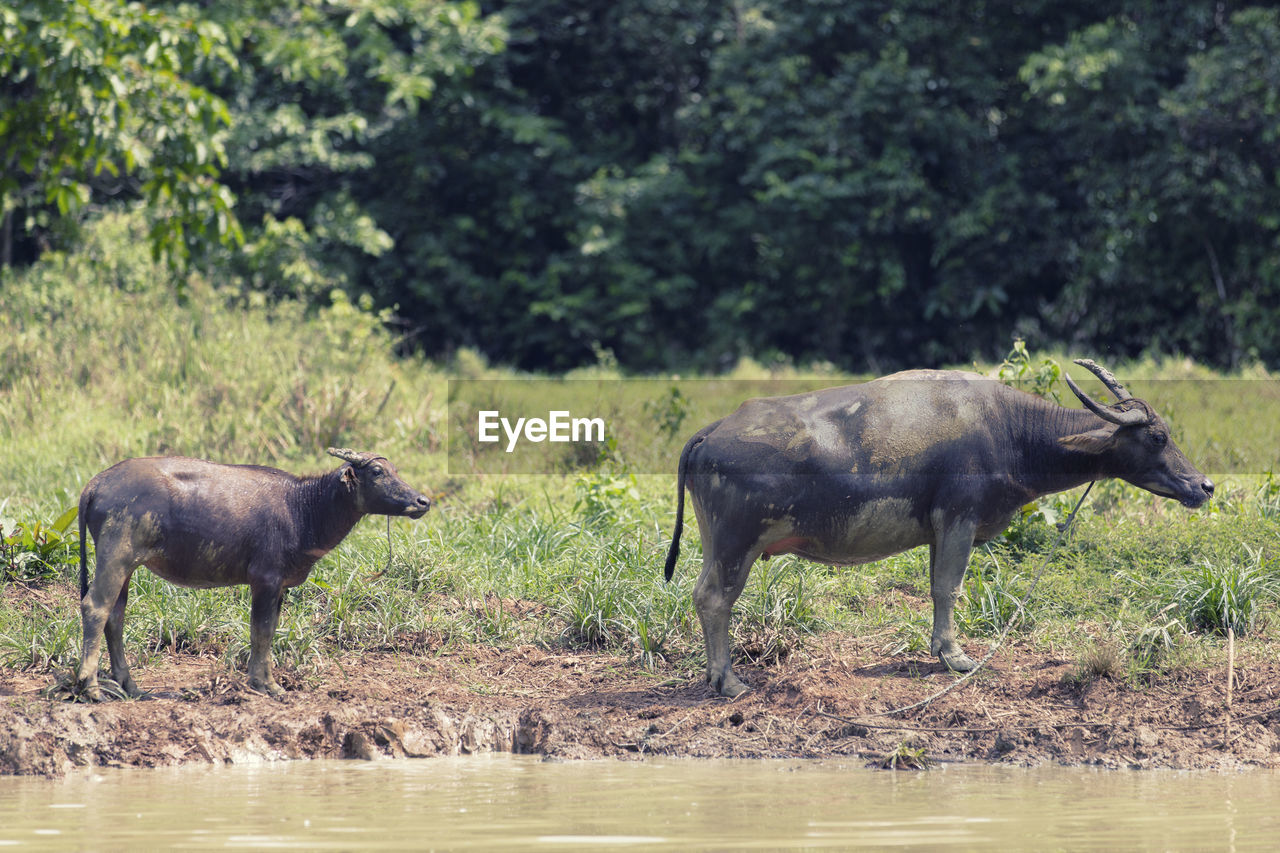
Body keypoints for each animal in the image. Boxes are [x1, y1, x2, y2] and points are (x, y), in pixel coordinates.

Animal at [77, 445, 432, 696]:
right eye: (377, 471)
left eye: (395, 470)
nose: (422, 501)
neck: (303, 508)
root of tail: (96, 483)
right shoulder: (265, 580)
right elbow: (260, 631)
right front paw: (268, 685)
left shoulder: (279, 586)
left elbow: (268, 630)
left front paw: (260, 680)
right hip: (115, 554)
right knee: (95, 607)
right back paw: (90, 686)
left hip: (126, 565)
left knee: (115, 615)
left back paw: (129, 685)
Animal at [665, 356, 1213, 696]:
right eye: (1158, 437)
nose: (1204, 485)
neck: (1009, 430)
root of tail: (712, 431)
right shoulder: (959, 518)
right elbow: (949, 587)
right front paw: (956, 657)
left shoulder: (938, 529)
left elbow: (935, 587)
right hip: (737, 542)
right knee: (714, 599)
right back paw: (729, 681)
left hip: (716, 542)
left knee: (702, 595)